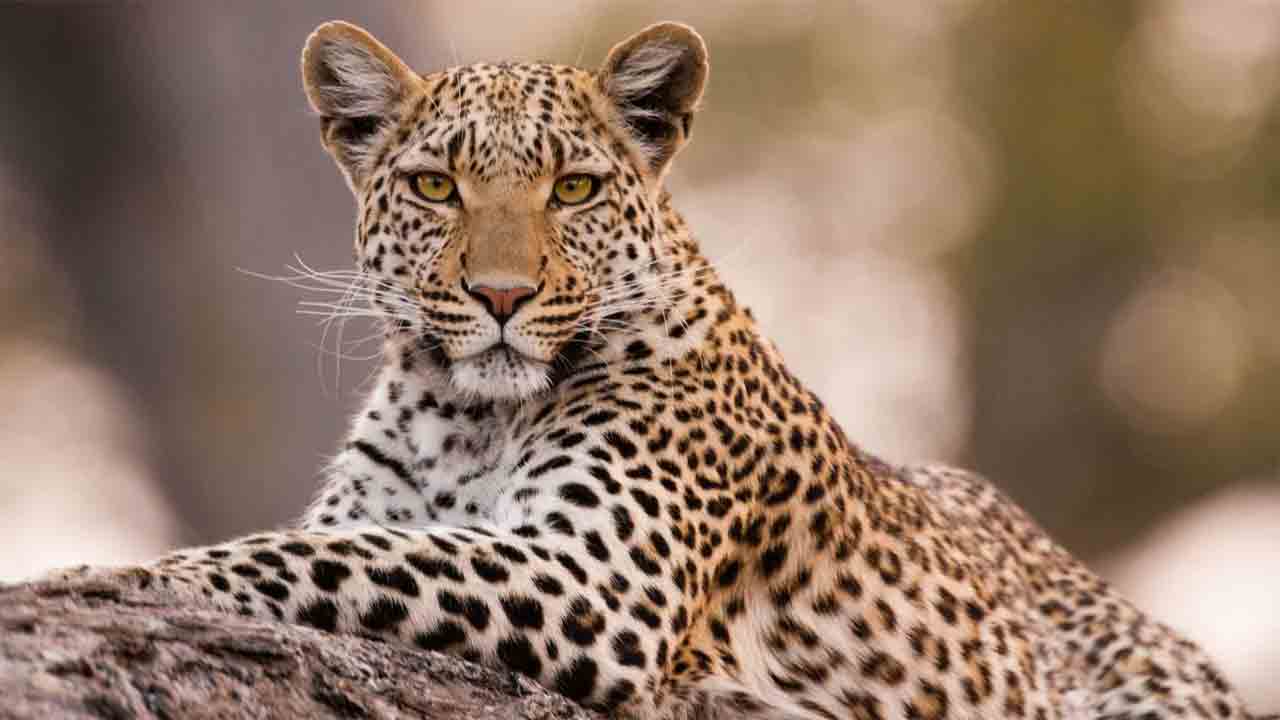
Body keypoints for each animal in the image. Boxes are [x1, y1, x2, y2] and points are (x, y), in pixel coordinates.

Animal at [39, 20, 1273, 720]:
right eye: (436, 187)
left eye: (573, 189)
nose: (500, 298)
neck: (463, 416)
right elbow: (346, 537)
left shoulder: (599, 581)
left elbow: (329, 554)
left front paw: (103, 578)